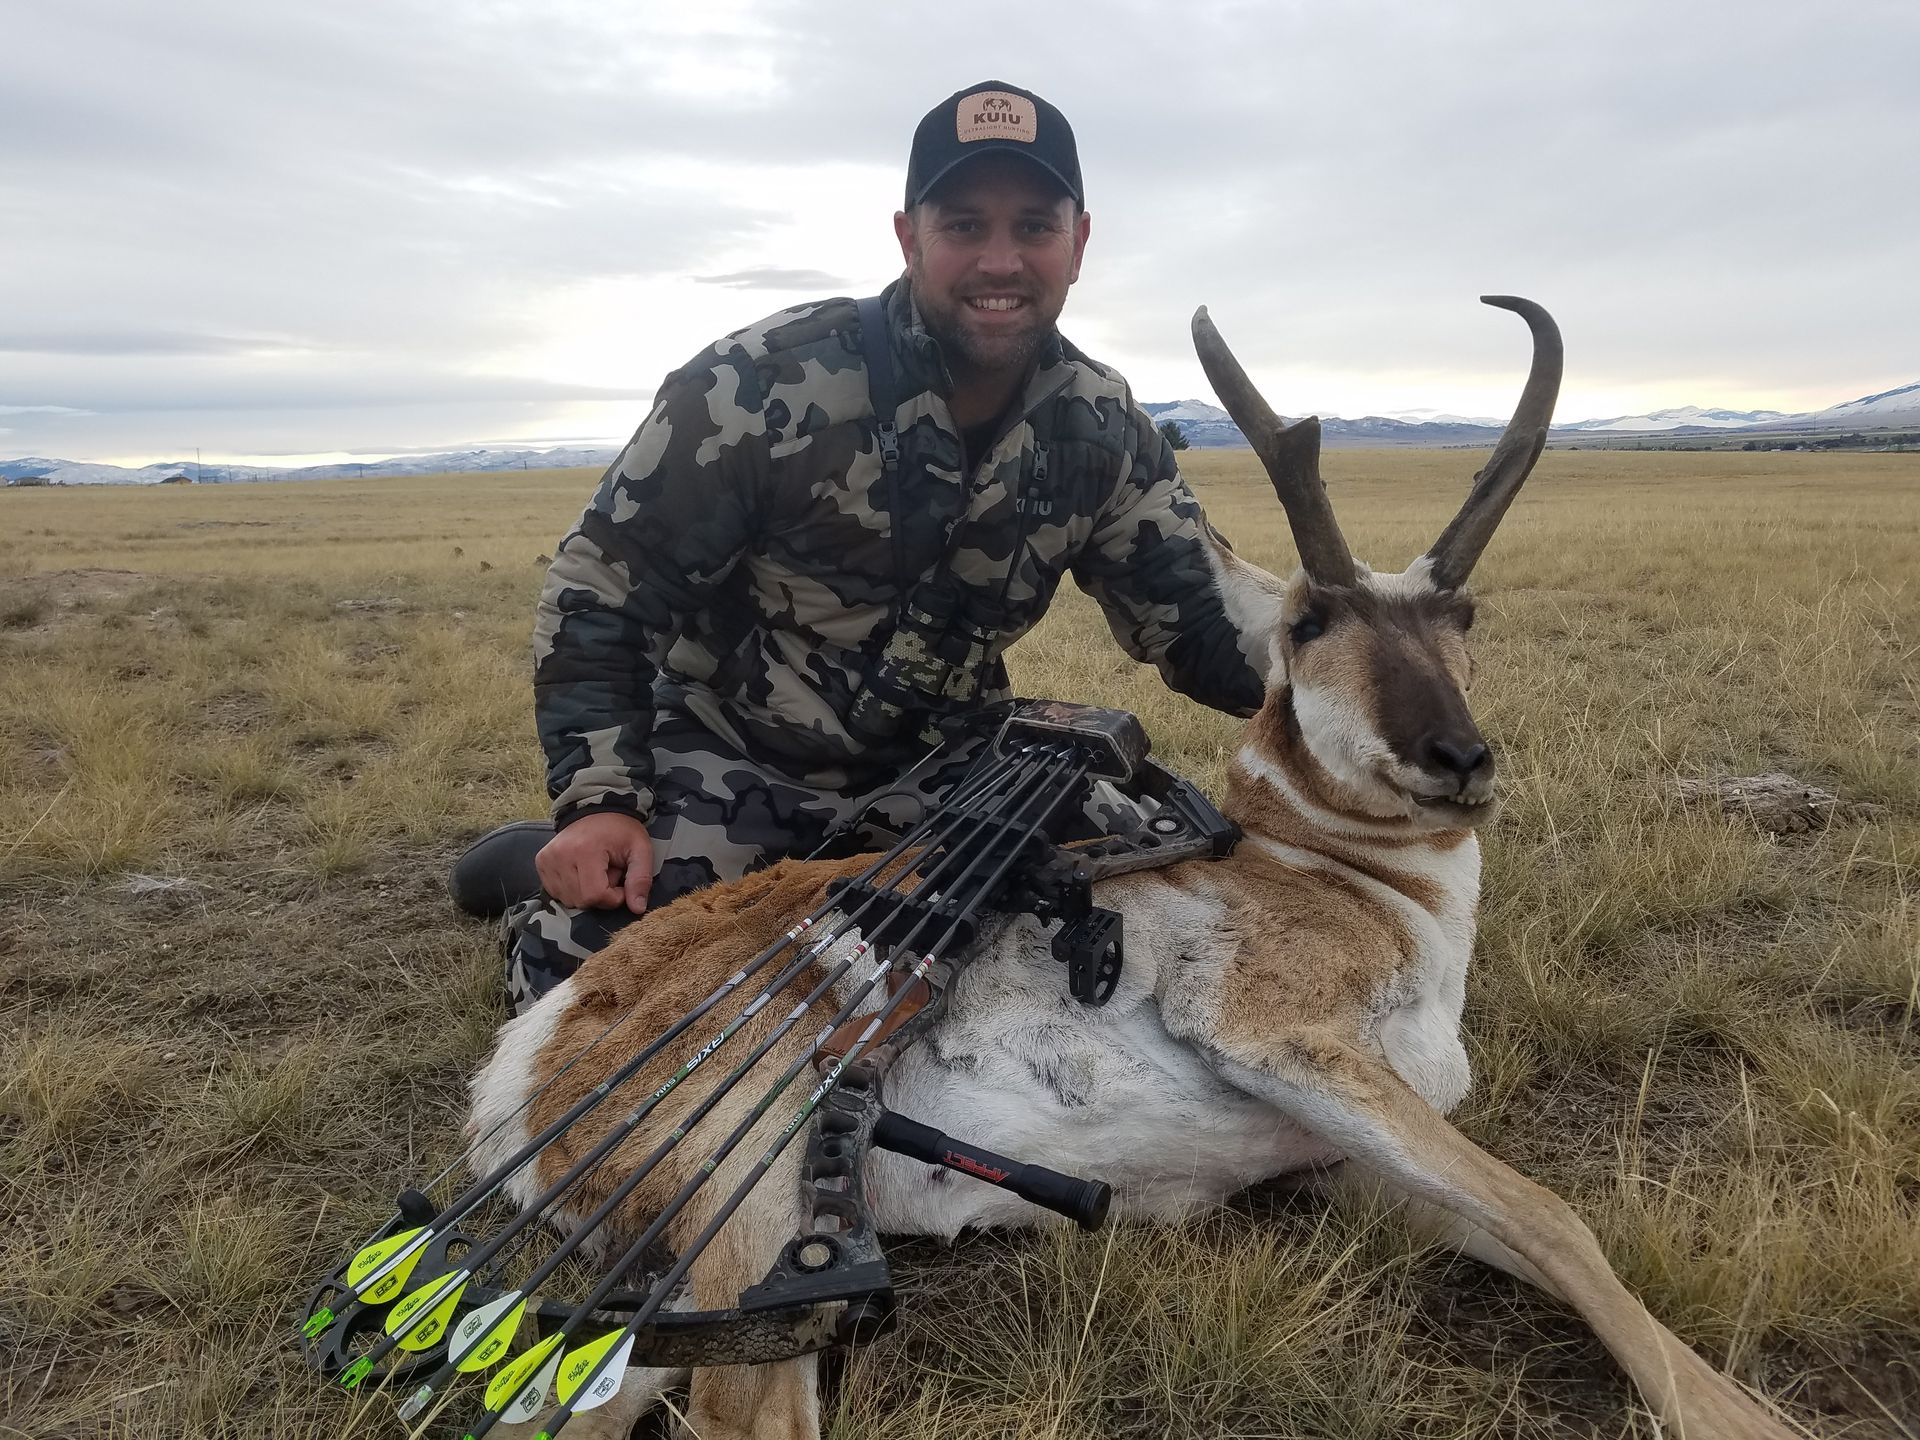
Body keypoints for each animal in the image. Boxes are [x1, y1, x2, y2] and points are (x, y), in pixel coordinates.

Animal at [468, 298, 1793, 1440]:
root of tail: (542, 1045)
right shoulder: (1287, 1044)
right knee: (745, 1413)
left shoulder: (1345, 1161)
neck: (1343, 877)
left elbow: (1536, 1237)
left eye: (1462, 620)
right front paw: (1739, 1416)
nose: (1458, 758)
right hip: (755, 1224)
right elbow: (1559, 1217)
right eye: (1308, 623)